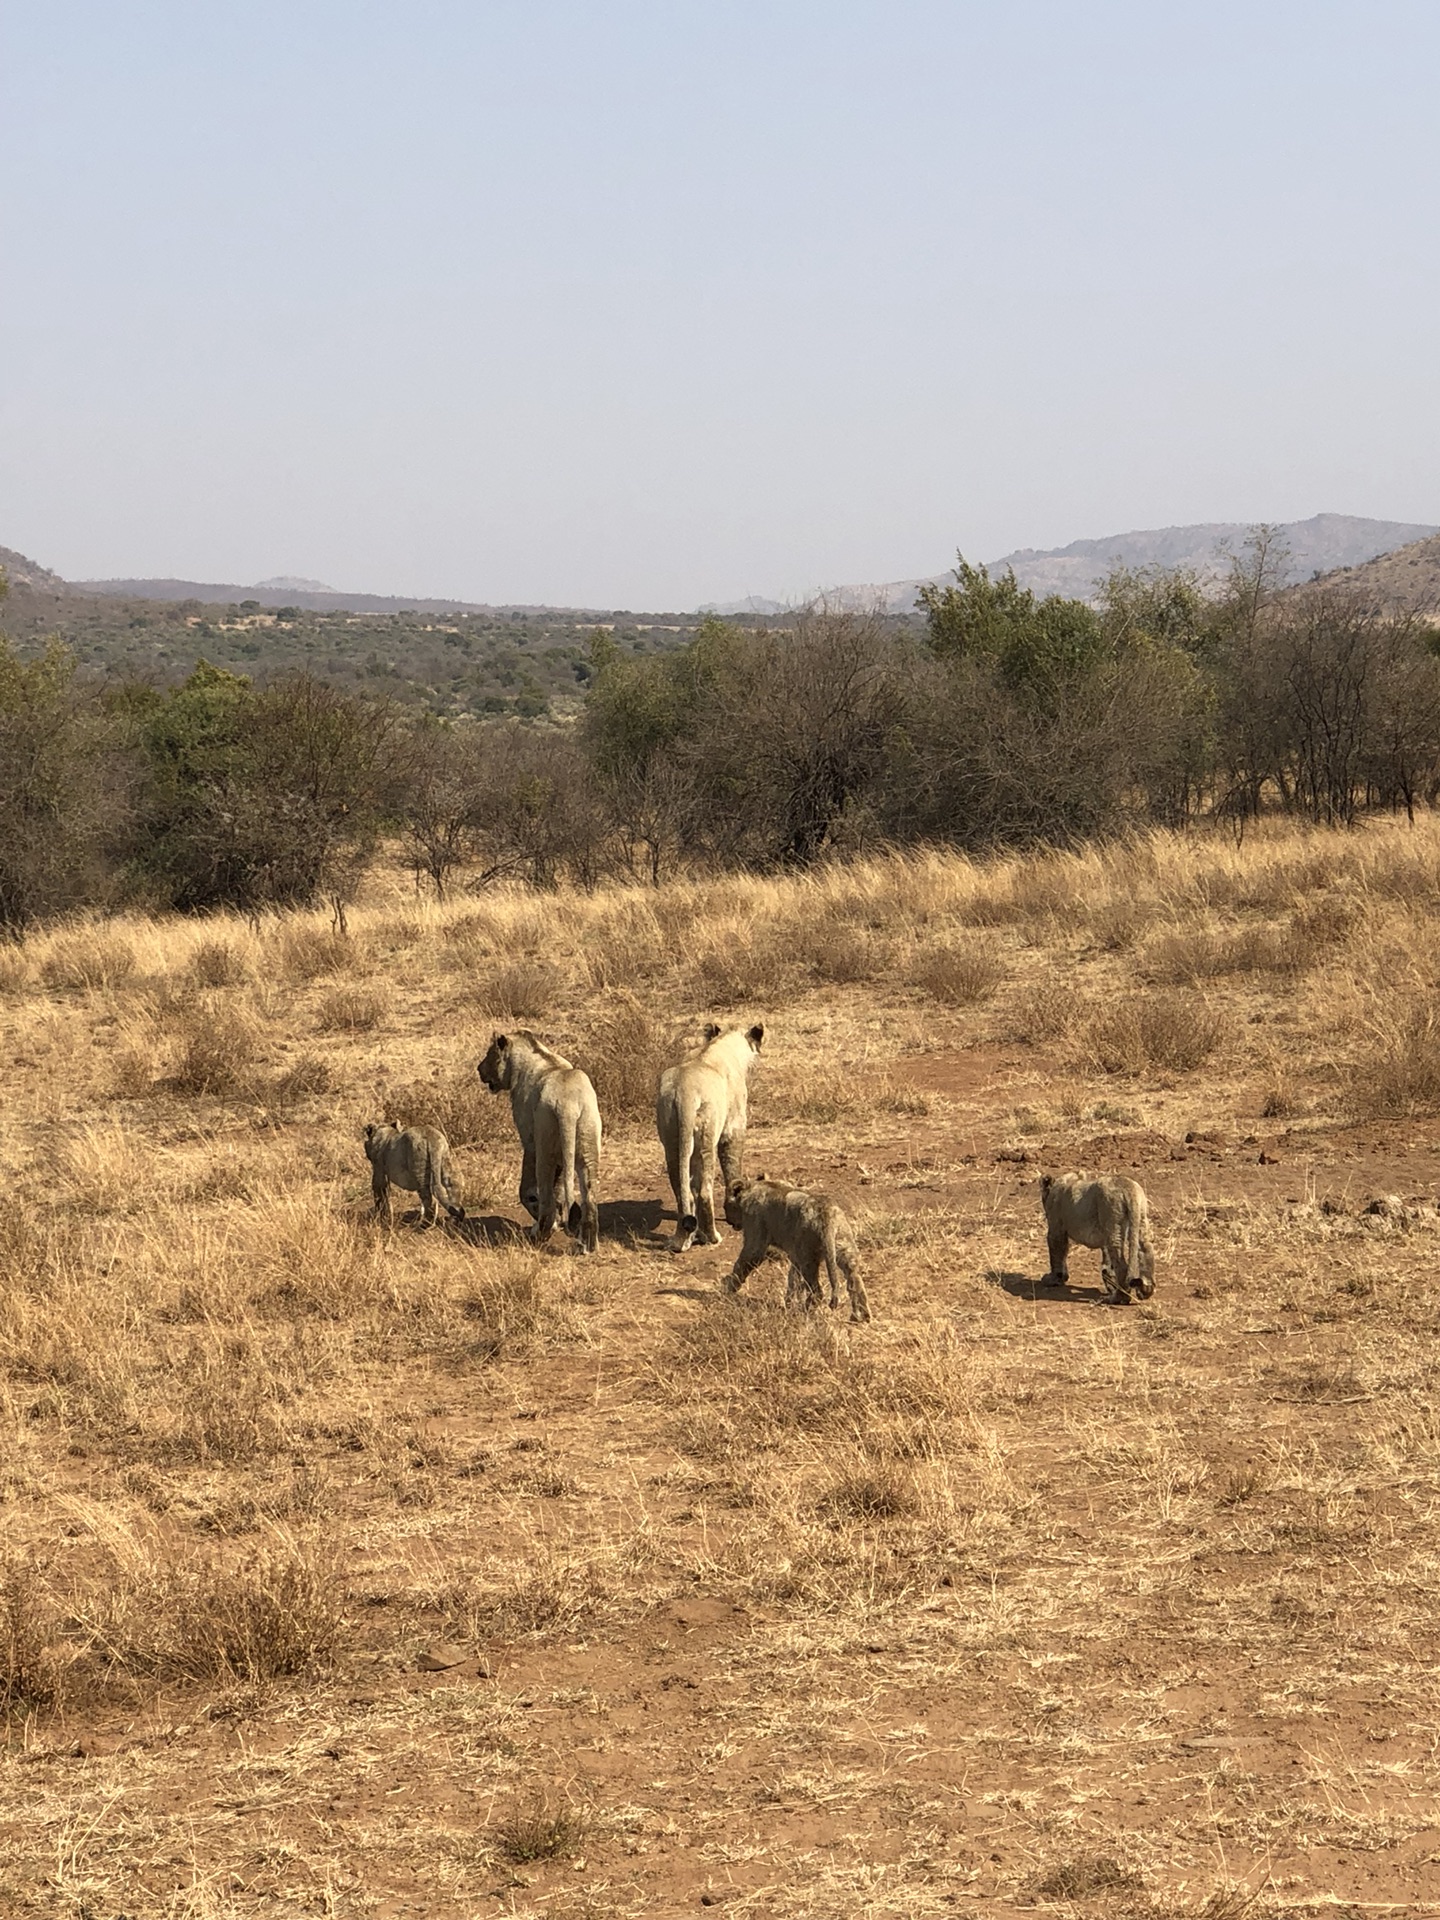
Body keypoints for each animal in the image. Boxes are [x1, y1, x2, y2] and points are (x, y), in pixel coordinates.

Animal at [480, 1029, 602, 1251]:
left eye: (489, 1053)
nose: (479, 1069)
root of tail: (568, 1104)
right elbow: (560, 1188)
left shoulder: (529, 1139)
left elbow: (529, 1188)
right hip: (588, 1139)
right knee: (589, 1197)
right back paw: (588, 1245)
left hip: (545, 1144)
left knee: (546, 1197)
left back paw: (540, 1234)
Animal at [656, 1029, 768, 1251]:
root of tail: (684, 1091)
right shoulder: (733, 1126)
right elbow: (732, 1168)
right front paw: (736, 1216)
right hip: (707, 1136)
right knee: (704, 1192)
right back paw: (711, 1237)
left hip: (672, 1140)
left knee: (683, 1192)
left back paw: (683, 1240)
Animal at [718, 1175, 867, 1328]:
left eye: (725, 1206)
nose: (729, 1221)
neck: (750, 1189)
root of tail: (826, 1213)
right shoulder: (795, 1255)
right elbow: (793, 1279)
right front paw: (788, 1304)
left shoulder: (755, 1234)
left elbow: (743, 1263)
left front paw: (728, 1289)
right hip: (843, 1245)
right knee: (854, 1279)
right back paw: (860, 1316)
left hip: (808, 1256)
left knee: (817, 1292)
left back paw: (804, 1312)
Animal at [1044, 1167, 1159, 1305]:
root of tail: (1128, 1187)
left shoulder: (1056, 1227)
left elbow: (1055, 1252)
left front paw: (1053, 1279)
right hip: (1141, 1216)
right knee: (1146, 1249)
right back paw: (1146, 1290)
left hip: (1112, 1220)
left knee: (1122, 1265)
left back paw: (1119, 1297)